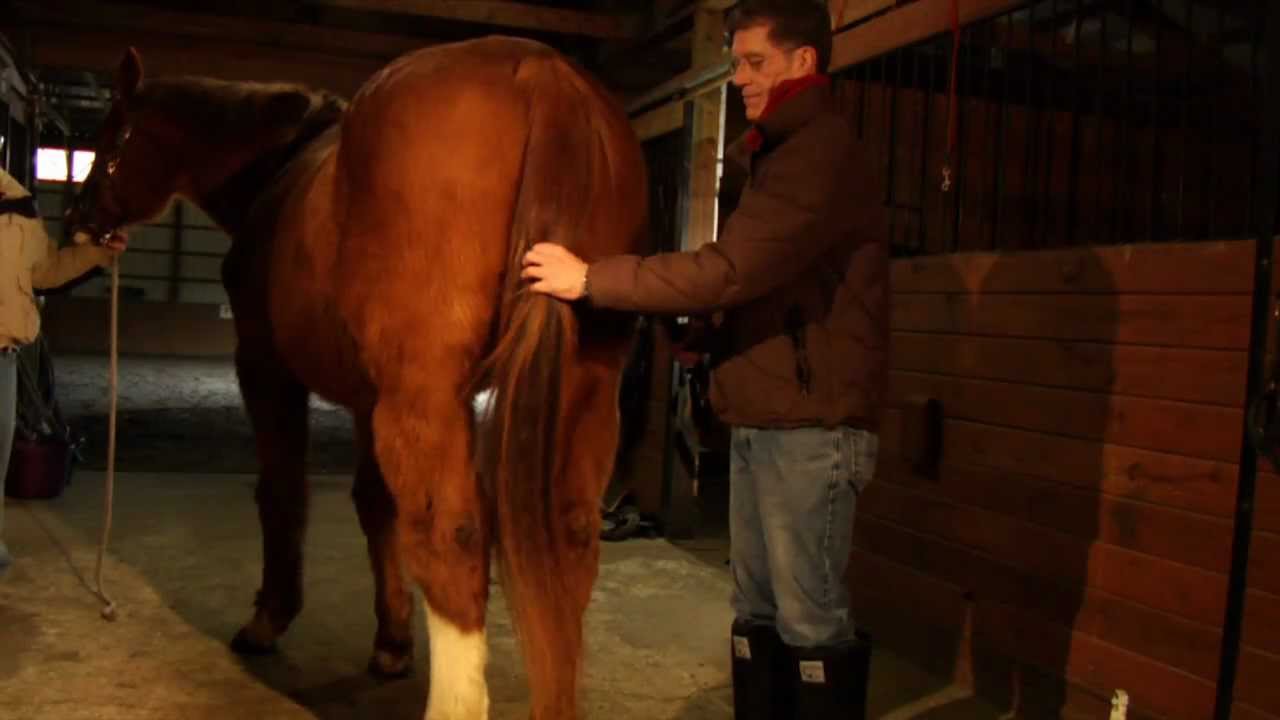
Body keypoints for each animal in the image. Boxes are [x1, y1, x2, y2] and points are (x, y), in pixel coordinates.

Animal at [66, 37, 649, 720]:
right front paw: (392, 644)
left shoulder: (265, 369)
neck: (282, 174)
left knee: (451, 540)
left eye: (110, 137)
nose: (78, 220)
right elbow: (376, 507)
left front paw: (266, 622)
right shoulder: (369, 400)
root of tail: (538, 70)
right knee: (572, 537)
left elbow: (282, 493)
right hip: (584, 395)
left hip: (425, 399)